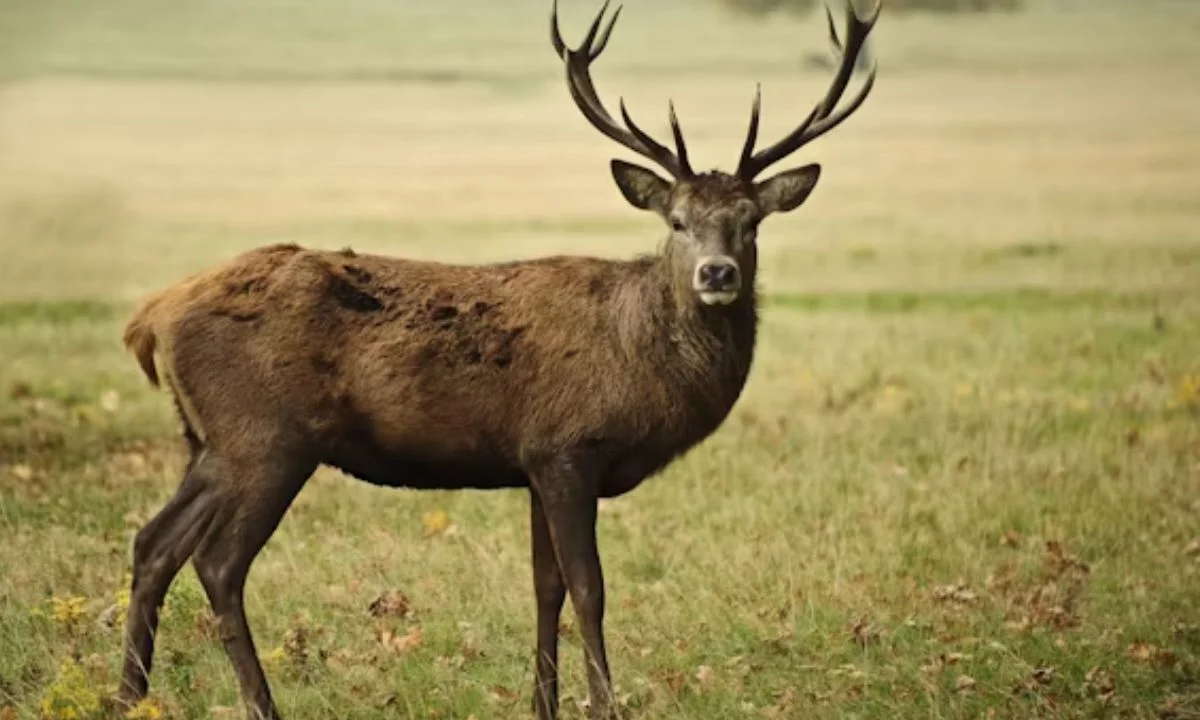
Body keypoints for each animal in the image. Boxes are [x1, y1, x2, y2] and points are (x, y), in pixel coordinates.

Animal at [111, 1, 879, 718]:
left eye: (751, 222)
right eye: (677, 221)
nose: (717, 274)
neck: (638, 358)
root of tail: (152, 315)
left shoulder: (533, 461)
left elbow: (546, 588)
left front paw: (544, 705)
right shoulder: (569, 446)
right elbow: (589, 587)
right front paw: (606, 705)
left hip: (209, 440)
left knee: (153, 544)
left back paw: (128, 697)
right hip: (266, 438)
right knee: (217, 562)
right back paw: (259, 704)